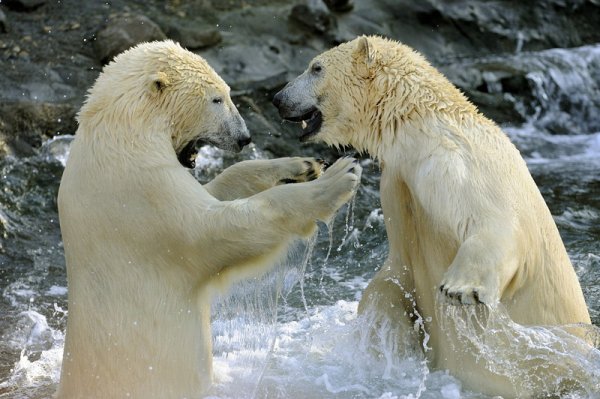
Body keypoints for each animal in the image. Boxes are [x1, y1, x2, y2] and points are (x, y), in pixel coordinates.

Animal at [56, 41, 360, 399]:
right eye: (217, 99)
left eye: (228, 92)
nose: (243, 138)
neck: (118, 137)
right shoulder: (143, 194)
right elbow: (215, 231)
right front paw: (337, 177)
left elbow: (217, 193)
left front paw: (301, 165)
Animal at [274, 36, 592, 398]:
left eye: (316, 67)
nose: (278, 98)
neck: (420, 123)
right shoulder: (398, 180)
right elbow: (396, 272)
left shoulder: (454, 161)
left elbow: (493, 221)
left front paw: (460, 288)